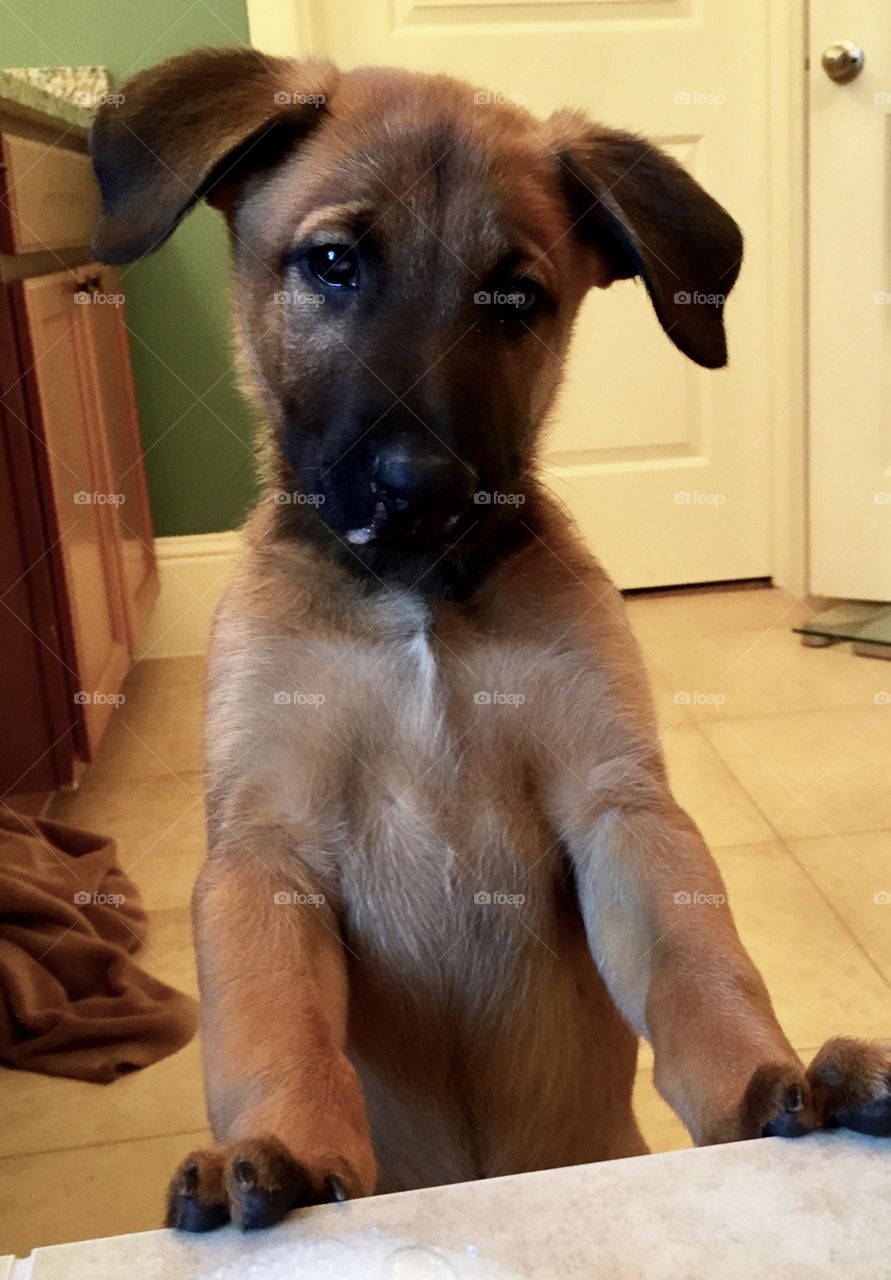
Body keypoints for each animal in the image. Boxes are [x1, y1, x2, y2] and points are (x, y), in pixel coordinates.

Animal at [92, 47, 891, 1228]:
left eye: (517, 296)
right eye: (332, 262)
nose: (422, 486)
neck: (419, 600)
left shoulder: (618, 809)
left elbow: (703, 971)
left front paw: (767, 1084)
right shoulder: (263, 844)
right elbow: (276, 1026)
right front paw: (282, 1147)